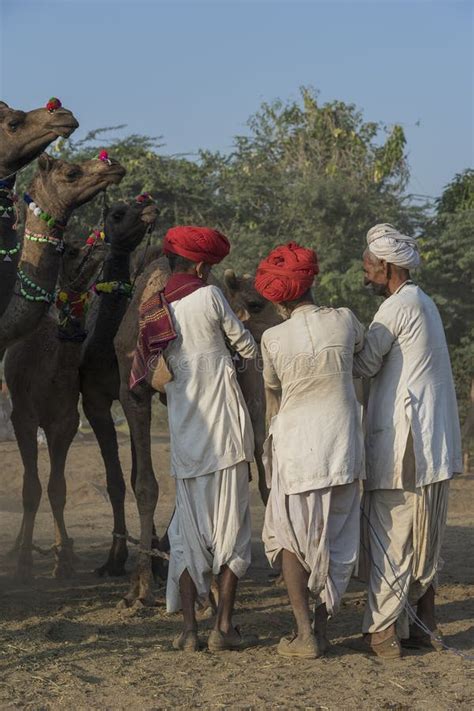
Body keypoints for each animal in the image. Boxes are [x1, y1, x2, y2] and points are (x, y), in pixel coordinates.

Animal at [4, 236, 108, 580]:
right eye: (73, 250)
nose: (101, 246)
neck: (51, 371)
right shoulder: (22, 418)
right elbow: (30, 488)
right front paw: (24, 562)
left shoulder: (66, 422)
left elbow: (57, 489)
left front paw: (63, 561)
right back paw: (16, 549)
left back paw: (67, 549)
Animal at [113, 256, 280, 608]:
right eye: (255, 303)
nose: (286, 317)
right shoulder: (131, 393)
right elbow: (145, 486)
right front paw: (139, 588)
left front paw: (212, 589)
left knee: (261, 454)